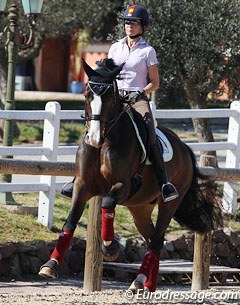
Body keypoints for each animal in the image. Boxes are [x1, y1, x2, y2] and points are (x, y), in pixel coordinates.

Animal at [38, 57, 223, 292]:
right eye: (87, 95)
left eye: (109, 96)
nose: (94, 138)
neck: (105, 143)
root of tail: (184, 148)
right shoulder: (82, 185)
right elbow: (69, 222)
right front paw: (50, 264)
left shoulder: (123, 186)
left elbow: (107, 202)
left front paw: (110, 248)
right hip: (140, 208)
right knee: (154, 238)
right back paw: (148, 284)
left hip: (169, 202)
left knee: (156, 238)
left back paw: (139, 280)